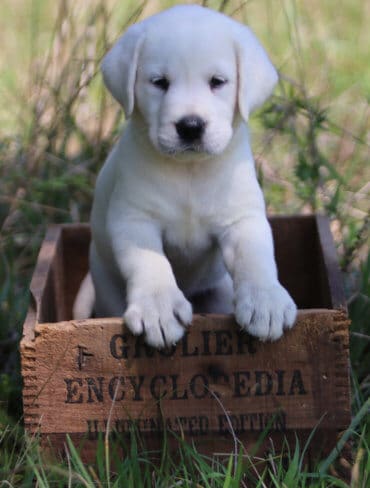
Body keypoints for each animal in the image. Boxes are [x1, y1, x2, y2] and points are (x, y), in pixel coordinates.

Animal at [73, 3, 296, 346]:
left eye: (218, 81)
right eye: (159, 82)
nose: (190, 126)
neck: (191, 171)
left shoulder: (242, 218)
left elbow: (255, 256)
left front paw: (265, 301)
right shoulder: (134, 220)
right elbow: (150, 261)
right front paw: (158, 309)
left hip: (219, 292)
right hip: (107, 288)